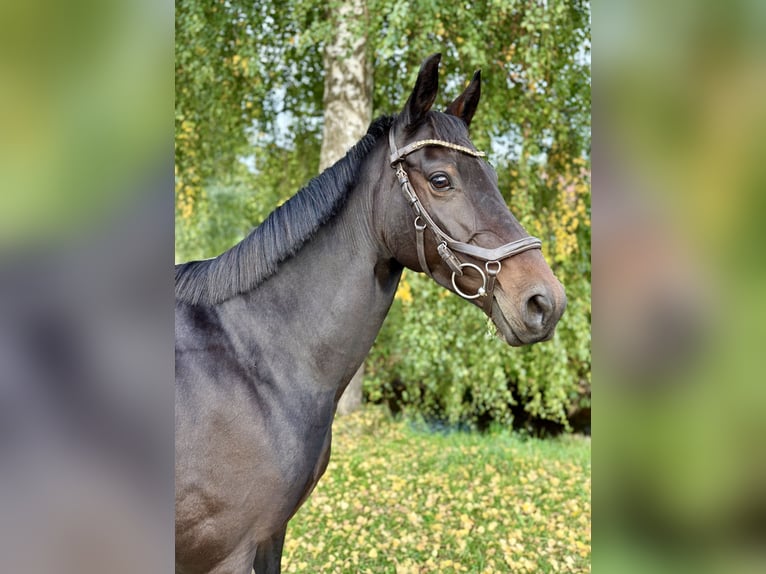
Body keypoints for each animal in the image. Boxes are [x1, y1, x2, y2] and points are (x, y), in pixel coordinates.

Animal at [175, 53, 566, 574]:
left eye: (495, 181)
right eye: (441, 180)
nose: (545, 301)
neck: (254, 363)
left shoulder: (269, 537)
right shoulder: (227, 552)